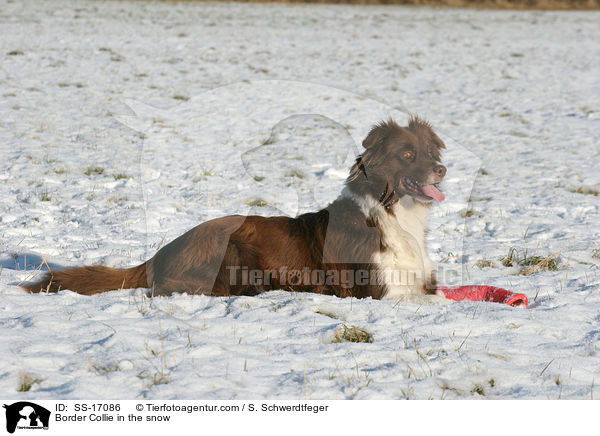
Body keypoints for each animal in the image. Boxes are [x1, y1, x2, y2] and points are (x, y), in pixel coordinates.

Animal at [23, 116, 446, 300]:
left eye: (429, 153)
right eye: (407, 155)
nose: (442, 169)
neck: (394, 212)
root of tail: (160, 254)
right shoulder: (378, 289)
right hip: (231, 249)